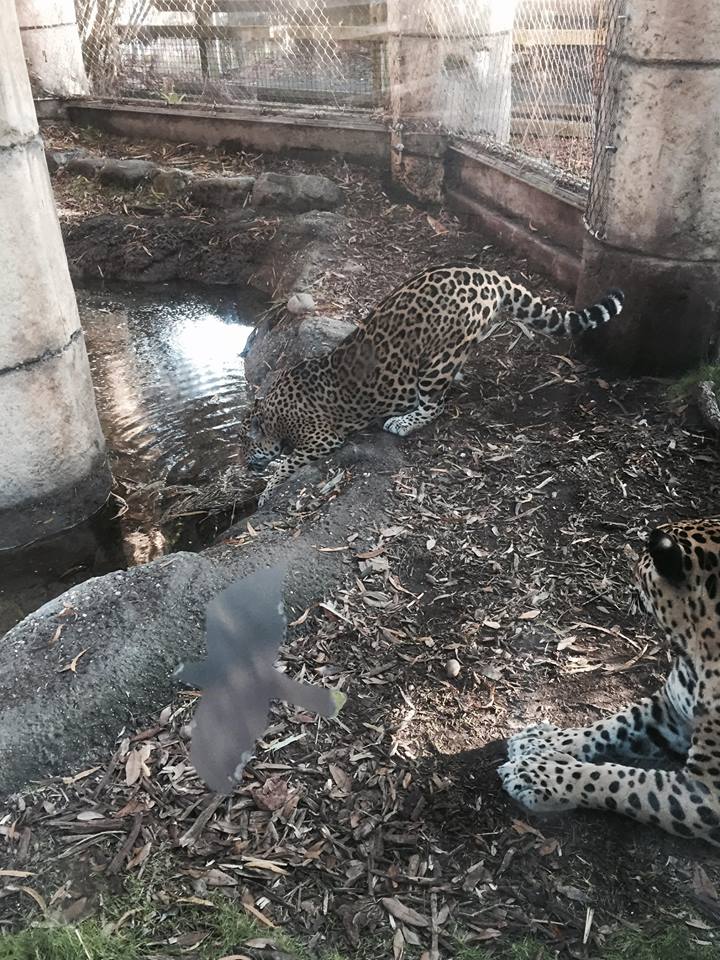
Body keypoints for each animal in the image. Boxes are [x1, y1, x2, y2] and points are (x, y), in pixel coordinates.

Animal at [246, 262, 624, 505]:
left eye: (244, 446)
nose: (246, 463)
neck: (276, 411)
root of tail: (491, 276)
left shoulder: (321, 439)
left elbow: (287, 462)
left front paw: (267, 489)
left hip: (436, 361)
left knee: (436, 404)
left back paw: (403, 421)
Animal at [500, 519, 720, 846]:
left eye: (640, 571)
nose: (629, 587)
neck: (694, 653)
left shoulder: (705, 792)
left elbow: (619, 780)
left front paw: (539, 776)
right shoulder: (671, 710)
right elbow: (610, 725)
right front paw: (539, 740)